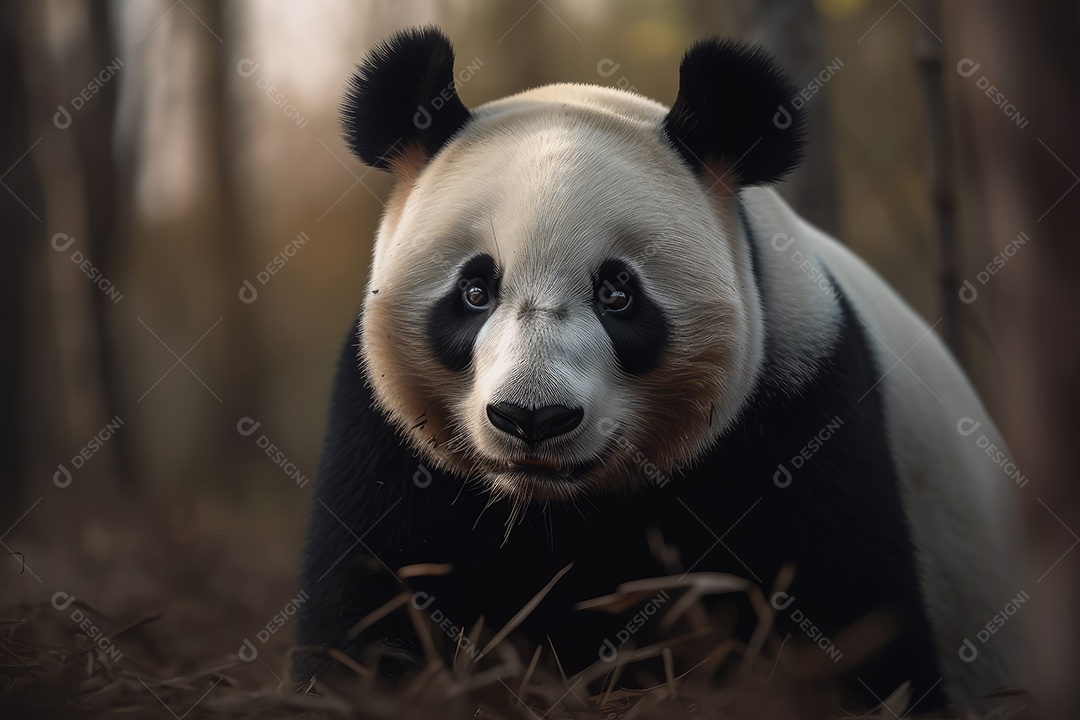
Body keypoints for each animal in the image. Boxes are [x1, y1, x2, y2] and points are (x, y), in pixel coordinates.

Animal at [296, 26, 1024, 715]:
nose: (533, 418)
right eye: (475, 291)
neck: (559, 507)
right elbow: (373, 599)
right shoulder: (387, 433)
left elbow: (851, 605)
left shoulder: (801, 398)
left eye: (617, 293)